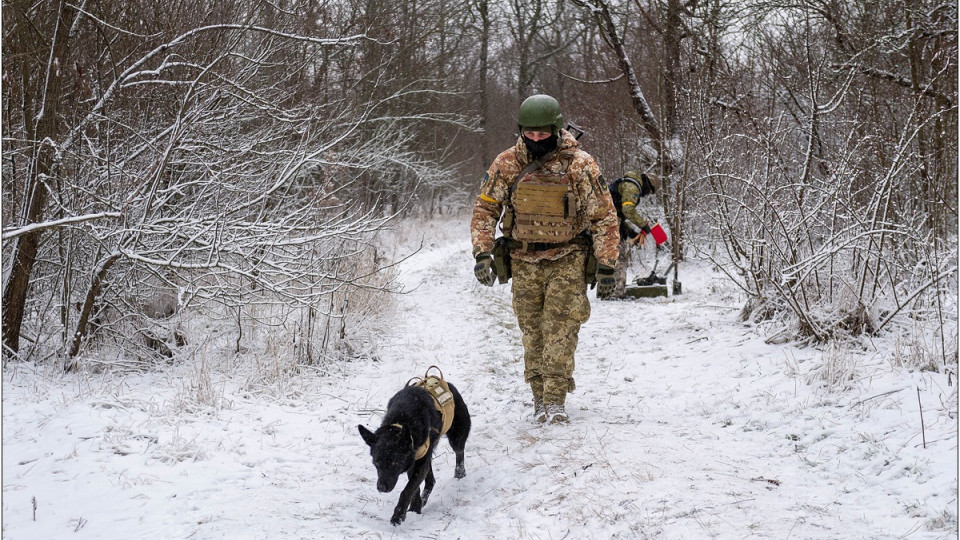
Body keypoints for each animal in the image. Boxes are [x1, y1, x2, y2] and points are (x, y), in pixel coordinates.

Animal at [358, 380, 470, 524]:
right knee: (431, 481)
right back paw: (423, 501)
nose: (381, 488)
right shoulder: (413, 462)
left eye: (394, 463)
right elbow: (414, 489)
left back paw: (460, 473)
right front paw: (415, 509)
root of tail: (448, 384)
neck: (401, 421)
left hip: (457, 436)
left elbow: (407, 490)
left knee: (459, 452)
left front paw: (398, 516)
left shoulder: (419, 463)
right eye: (376, 462)